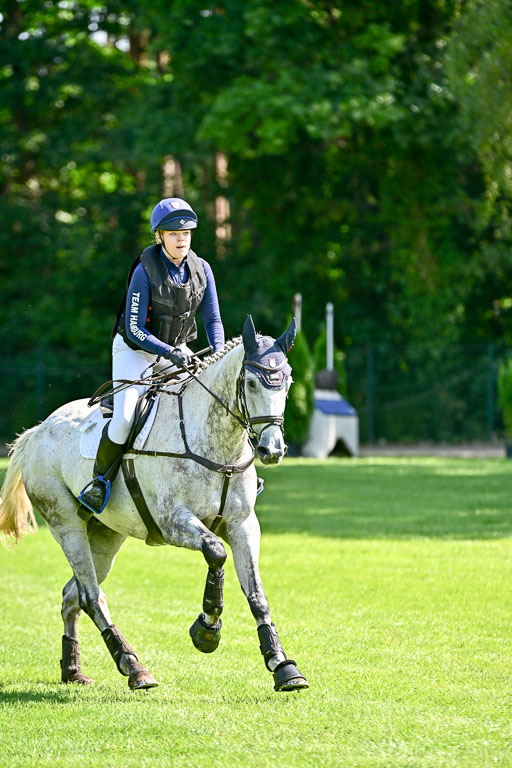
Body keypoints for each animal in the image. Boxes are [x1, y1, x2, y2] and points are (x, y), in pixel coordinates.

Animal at [0, 316, 309, 693]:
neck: (218, 445)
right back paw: (133, 666)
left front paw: (283, 666)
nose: (272, 450)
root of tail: (38, 431)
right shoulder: (173, 522)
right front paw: (207, 629)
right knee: (91, 595)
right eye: (250, 383)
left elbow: (256, 594)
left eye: (287, 382)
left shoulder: (243, 524)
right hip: (66, 524)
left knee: (72, 594)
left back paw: (73, 669)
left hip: (105, 535)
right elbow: (216, 552)